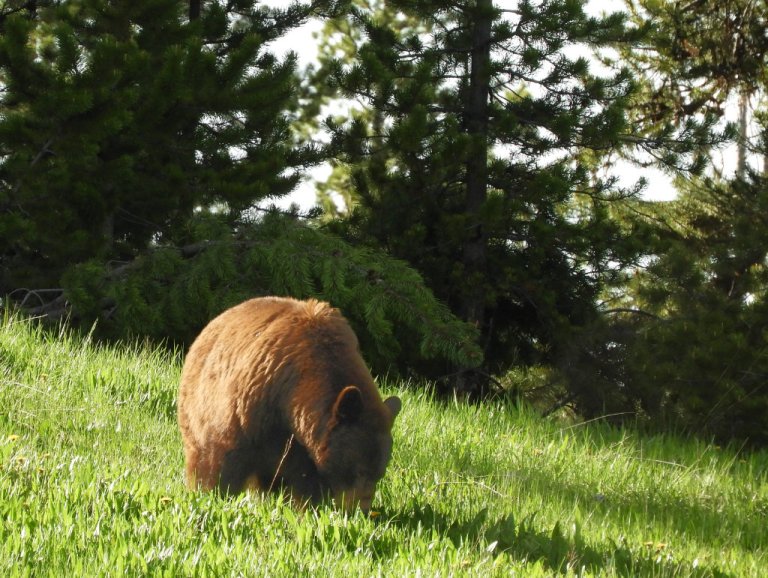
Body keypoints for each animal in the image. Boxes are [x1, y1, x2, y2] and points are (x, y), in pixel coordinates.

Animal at [177, 296, 401, 512]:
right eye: (358, 470)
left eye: (380, 472)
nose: (361, 510)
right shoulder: (248, 412)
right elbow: (225, 459)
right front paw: (215, 496)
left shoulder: (306, 441)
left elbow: (306, 481)